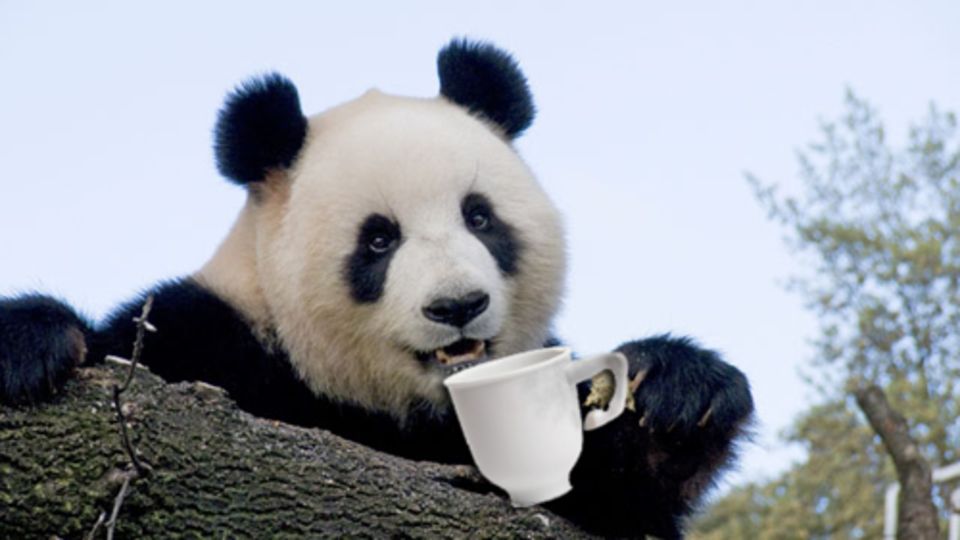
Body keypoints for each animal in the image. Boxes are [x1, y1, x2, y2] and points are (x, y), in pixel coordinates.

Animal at [0, 39, 753, 538]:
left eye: (479, 216)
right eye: (379, 240)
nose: (458, 306)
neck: (407, 410)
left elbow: (620, 497)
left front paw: (677, 393)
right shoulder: (215, 339)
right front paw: (31, 346)